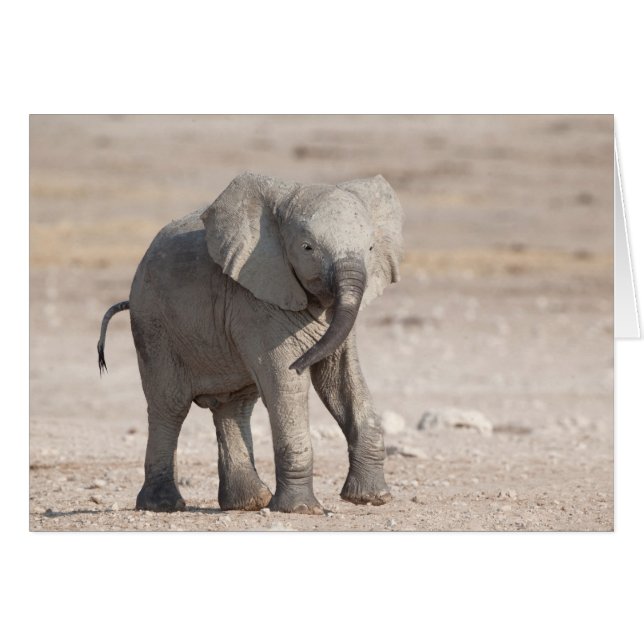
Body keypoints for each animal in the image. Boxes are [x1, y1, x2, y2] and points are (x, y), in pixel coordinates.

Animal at [97, 171, 404, 514]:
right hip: (153, 325)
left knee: (233, 407)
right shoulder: (255, 302)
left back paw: (248, 503)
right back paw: (163, 505)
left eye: (371, 247)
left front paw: (372, 498)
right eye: (307, 247)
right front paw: (301, 510)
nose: (303, 360)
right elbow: (285, 383)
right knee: (169, 405)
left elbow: (339, 381)